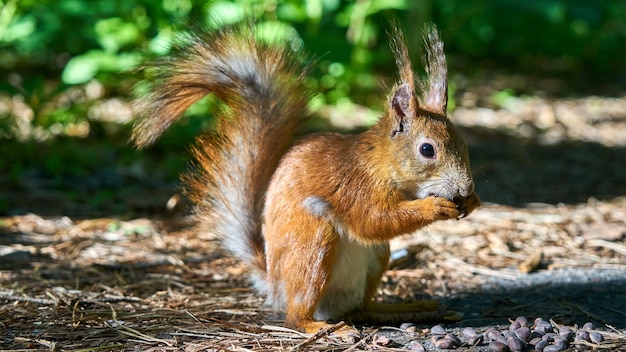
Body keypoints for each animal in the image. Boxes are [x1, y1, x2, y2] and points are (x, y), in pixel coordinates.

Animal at [130, 22, 478, 332]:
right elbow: (372, 221)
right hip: (312, 244)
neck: (381, 162)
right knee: (297, 316)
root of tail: (274, 286)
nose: (465, 188)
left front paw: (472, 202)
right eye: (427, 150)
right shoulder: (355, 185)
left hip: (378, 257)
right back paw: (321, 328)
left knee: (362, 308)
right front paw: (435, 207)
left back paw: (407, 307)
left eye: (463, 143)